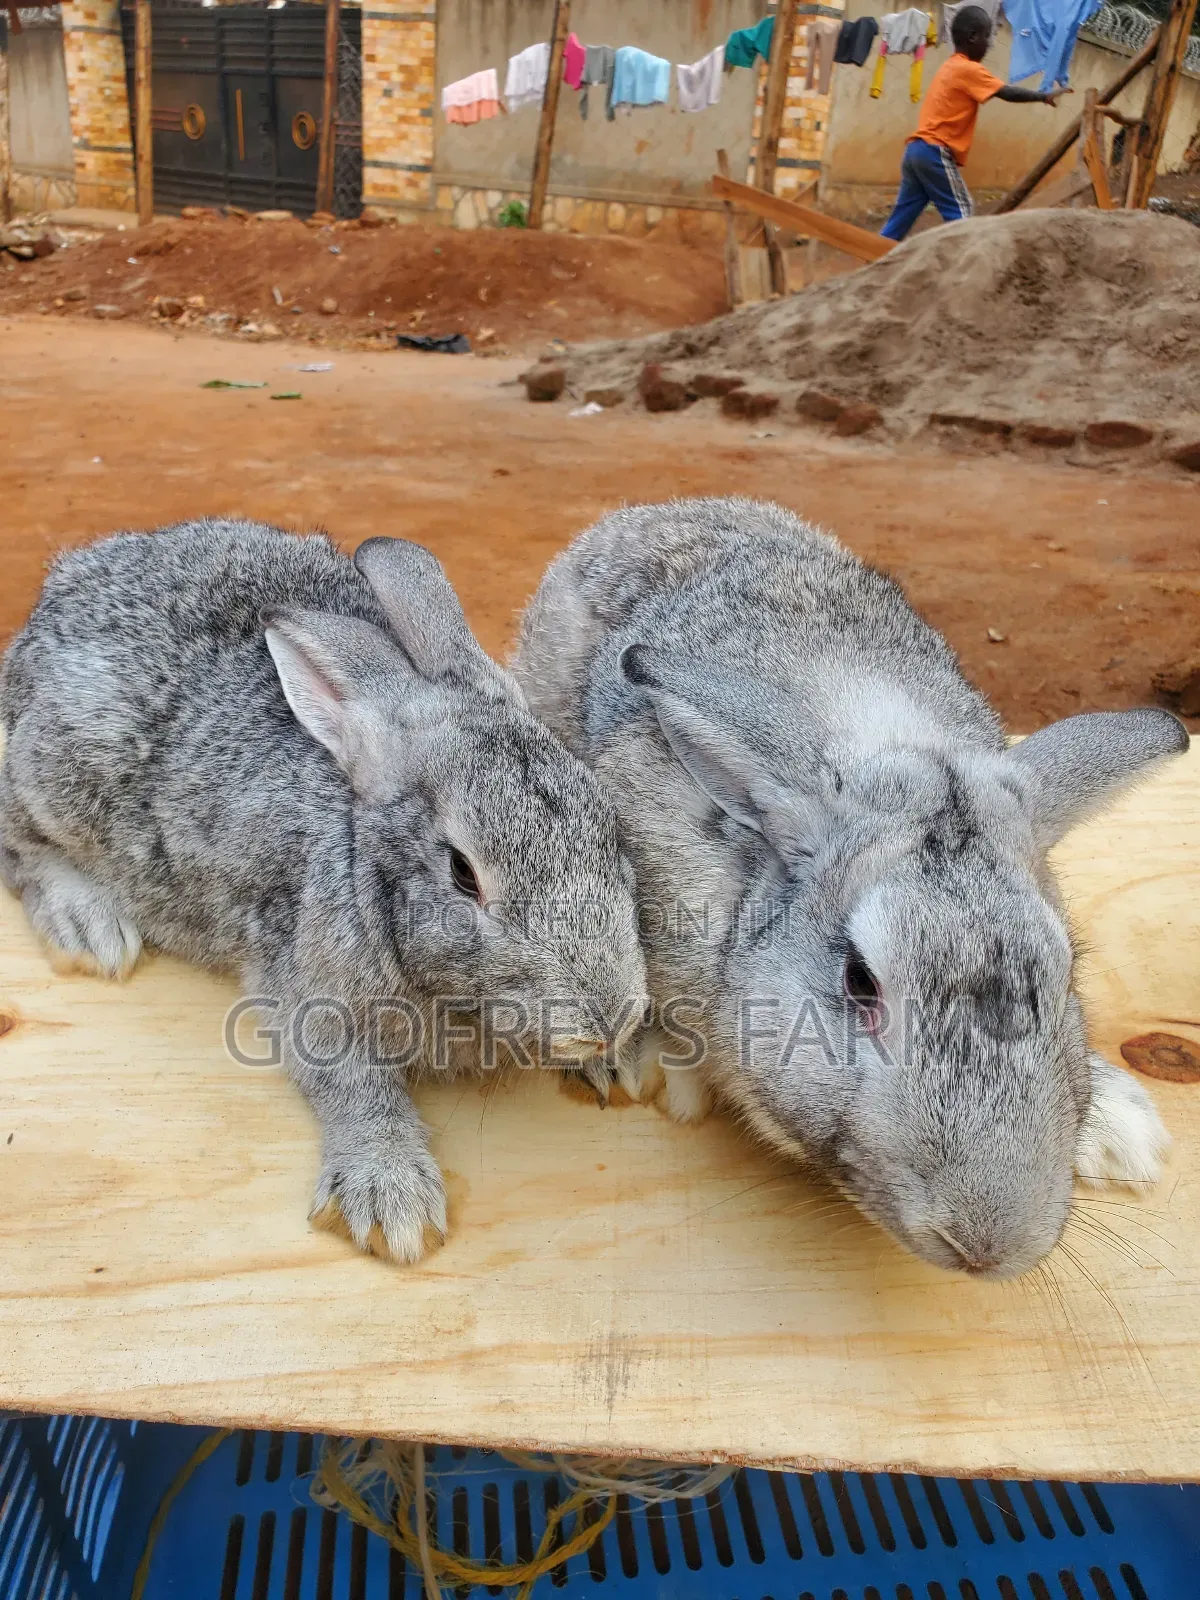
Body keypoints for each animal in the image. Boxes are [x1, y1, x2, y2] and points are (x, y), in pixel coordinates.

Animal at [0, 519, 648, 1263]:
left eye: (607, 824)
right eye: (462, 872)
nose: (609, 1018)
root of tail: (52, 599)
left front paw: (623, 1064)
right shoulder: (305, 985)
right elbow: (350, 1082)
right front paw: (392, 1201)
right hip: (61, 776)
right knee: (15, 840)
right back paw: (89, 929)